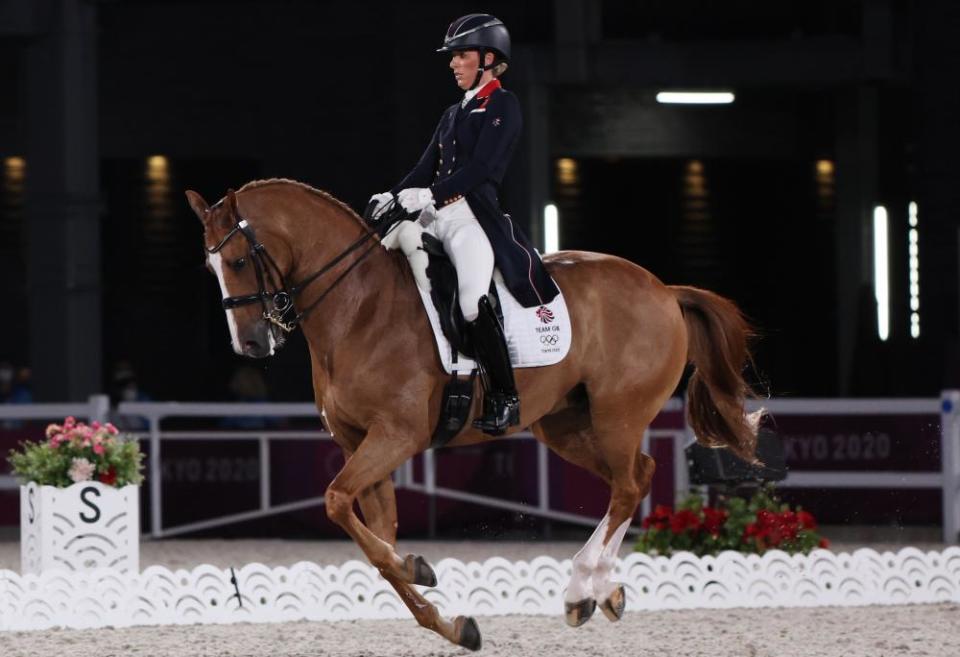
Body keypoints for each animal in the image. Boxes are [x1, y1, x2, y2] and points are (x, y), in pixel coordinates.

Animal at [186, 179, 756, 652]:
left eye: (238, 262)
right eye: (210, 269)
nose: (251, 344)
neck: (358, 307)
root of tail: (664, 290)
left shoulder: (395, 436)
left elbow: (335, 502)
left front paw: (417, 568)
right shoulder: (359, 444)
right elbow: (375, 545)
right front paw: (447, 617)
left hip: (618, 416)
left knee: (630, 484)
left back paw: (580, 589)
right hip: (566, 425)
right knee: (637, 476)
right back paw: (603, 591)